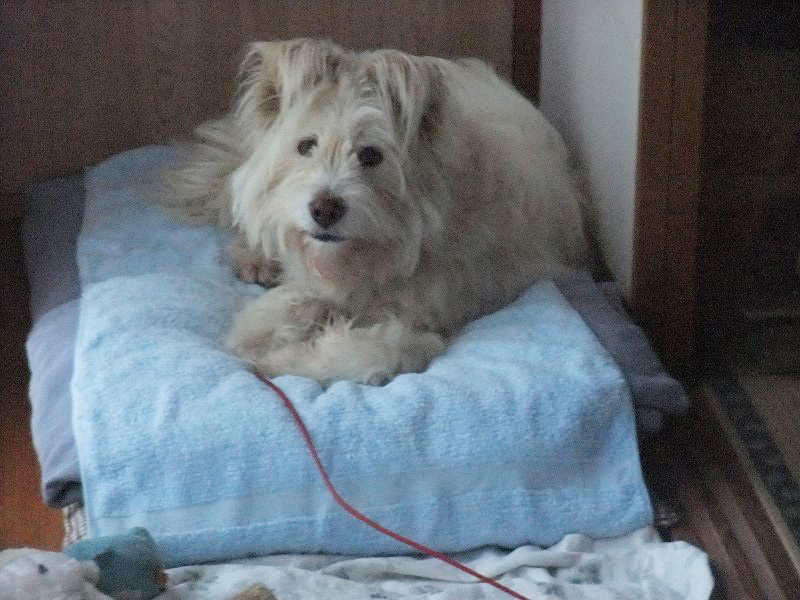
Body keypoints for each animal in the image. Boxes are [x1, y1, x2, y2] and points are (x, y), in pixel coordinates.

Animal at [164, 39, 593, 385]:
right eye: (305, 145)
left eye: (370, 155)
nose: (324, 209)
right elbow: (286, 307)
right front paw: (261, 335)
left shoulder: (428, 319)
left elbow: (376, 350)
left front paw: (284, 358)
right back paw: (256, 261)